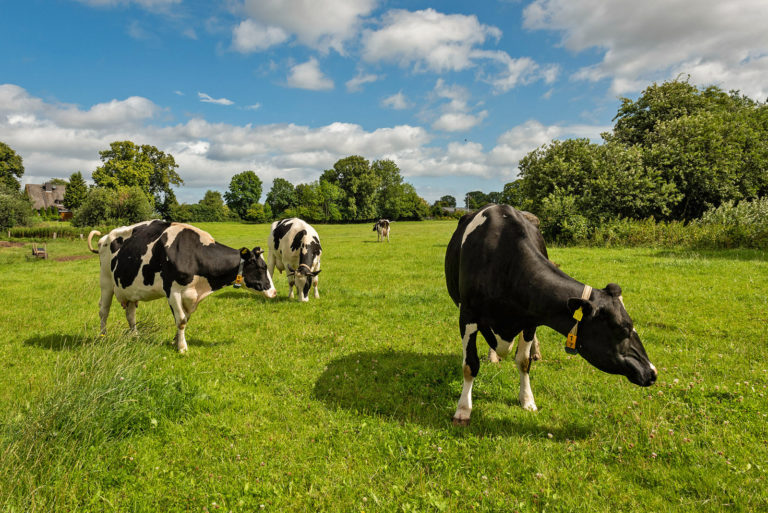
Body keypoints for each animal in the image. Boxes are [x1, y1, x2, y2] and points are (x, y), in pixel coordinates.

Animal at [87, 220, 276, 352]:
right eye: (262, 267)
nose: (274, 292)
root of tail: (104, 238)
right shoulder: (173, 291)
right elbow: (182, 320)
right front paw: (182, 347)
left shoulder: (191, 296)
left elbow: (184, 319)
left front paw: (175, 341)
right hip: (106, 282)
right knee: (104, 310)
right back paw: (103, 336)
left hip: (130, 290)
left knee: (130, 315)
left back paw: (135, 336)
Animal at [444, 204, 656, 424]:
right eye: (622, 329)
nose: (652, 372)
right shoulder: (468, 315)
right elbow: (470, 364)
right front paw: (463, 410)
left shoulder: (530, 318)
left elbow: (523, 362)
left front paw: (527, 400)